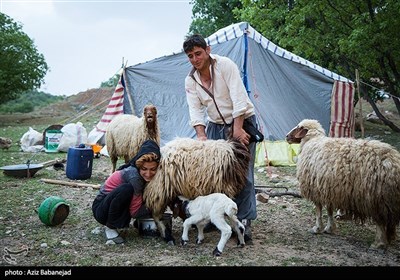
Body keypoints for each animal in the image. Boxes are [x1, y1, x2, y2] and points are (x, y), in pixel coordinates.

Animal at [286, 118, 400, 249]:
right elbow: (329, 210)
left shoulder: (315, 189)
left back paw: (378, 243)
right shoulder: (328, 189)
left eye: (298, 127)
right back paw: (391, 238)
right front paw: (329, 228)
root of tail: (394, 163)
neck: (312, 141)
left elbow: (318, 211)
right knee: (390, 220)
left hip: (376, 197)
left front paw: (317, 228)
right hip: (389, 199)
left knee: (380, 221)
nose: (287, 136)